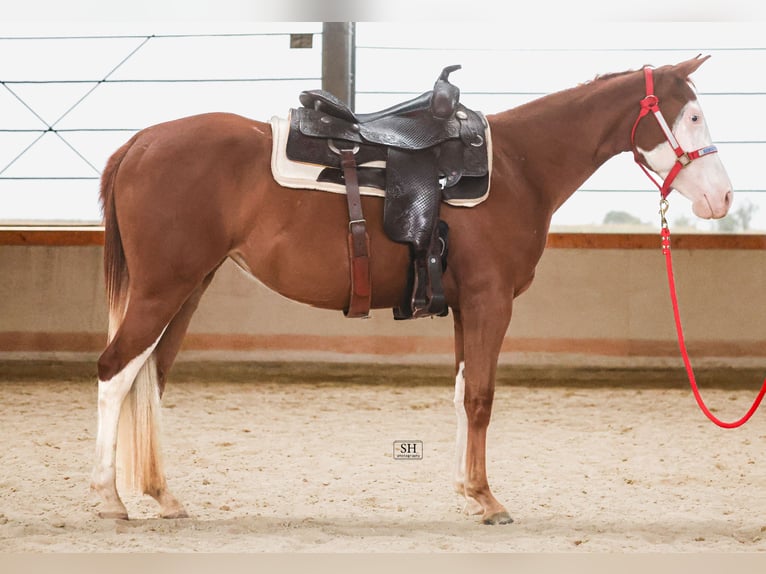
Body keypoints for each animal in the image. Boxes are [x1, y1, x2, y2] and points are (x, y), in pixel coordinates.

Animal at [91, 55, 732, 524]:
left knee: (149, 380)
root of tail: (140, 143)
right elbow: (482, 397)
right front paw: (488, 499)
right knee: (115, 371)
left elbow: (463, 393)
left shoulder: (466, 308)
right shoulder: (491, 302)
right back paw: (109, 497)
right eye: (692, 117)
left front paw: (467, 490)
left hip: (188, 288)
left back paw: (161, 495)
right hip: (162, 289)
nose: (722, 198)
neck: (521, 166)